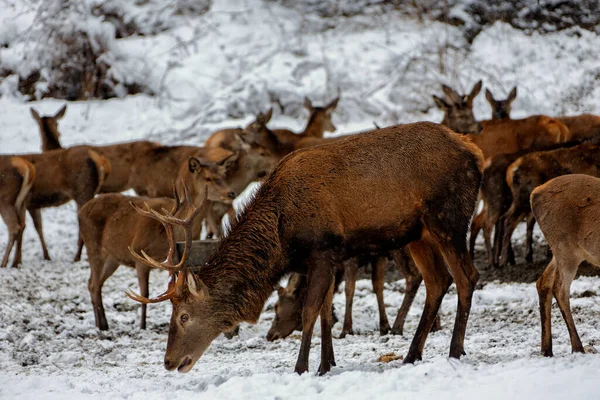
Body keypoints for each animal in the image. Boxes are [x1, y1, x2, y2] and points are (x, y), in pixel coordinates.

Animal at [77, 156, 232, 332]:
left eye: (223, 175)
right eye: (208, 178)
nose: (231, 193)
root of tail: (81, 210)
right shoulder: (140, 256)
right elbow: (145, 293)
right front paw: (142, 326)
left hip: (113, 258)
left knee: (96, 284)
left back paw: (101, 323)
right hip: (93, 247)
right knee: (93, 284)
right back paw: (102, 325)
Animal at [125, 122, 482, 376]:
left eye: (183, 315)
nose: (169, 362)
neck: (282, 239)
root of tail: (474, 152)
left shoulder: (323, 248)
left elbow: (310, 310)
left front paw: (301, 368)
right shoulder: (328, 257)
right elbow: (325, 311)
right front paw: (326, 364)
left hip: (448, 218)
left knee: (467, 277)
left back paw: (455, 351)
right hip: (418, 233)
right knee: (438, 281)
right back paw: (411, 355)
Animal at [532, 175, 600, 356]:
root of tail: (535, 193)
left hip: (562, 250)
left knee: (543, 281)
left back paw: (546, 349)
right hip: (565, 246)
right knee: (560, 288)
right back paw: (577, 347)